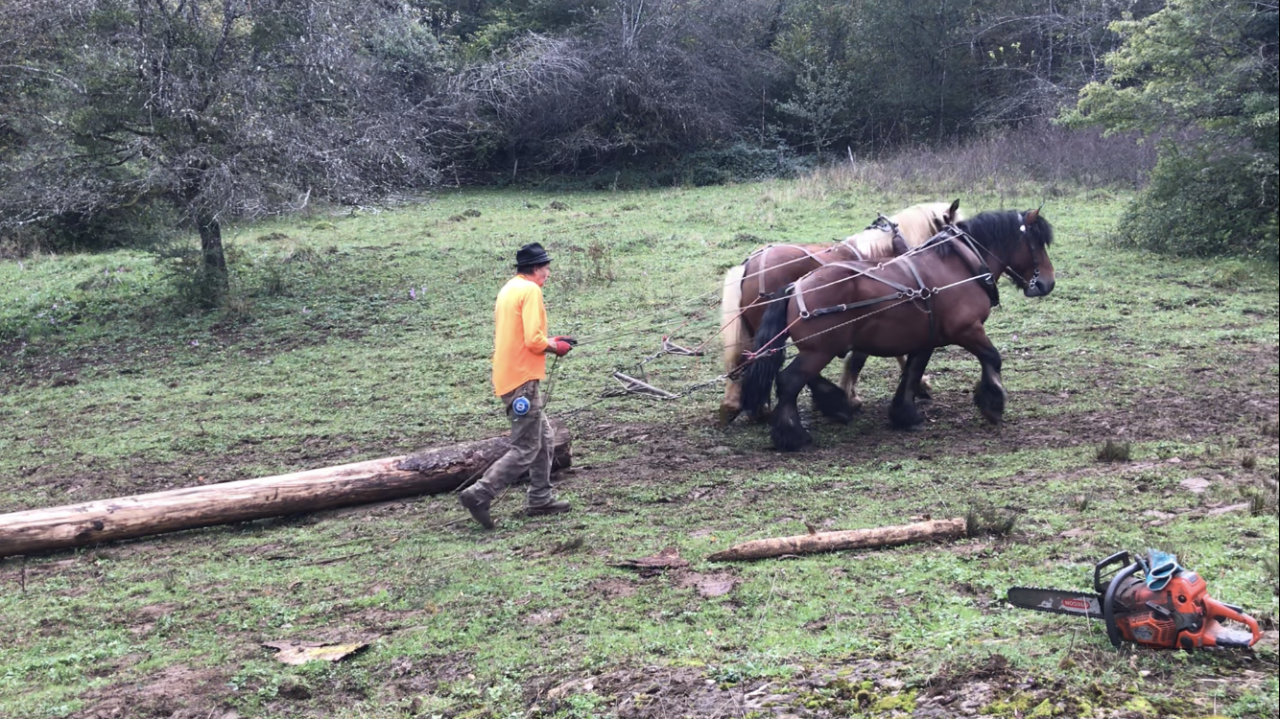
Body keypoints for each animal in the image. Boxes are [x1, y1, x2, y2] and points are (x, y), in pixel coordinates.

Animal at [719, 200, 962, 425]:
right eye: (955, 226)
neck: (888, 248)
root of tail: (749, 265)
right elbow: (863, 359)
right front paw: (851, 397)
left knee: (745, 359)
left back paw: (738, 406)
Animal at [740, 208, 1055, 451]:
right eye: (1037, 244)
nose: (1047, 283)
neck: (960, 265)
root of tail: (796, 286)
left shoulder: (926, 339)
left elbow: (912, 373)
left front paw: (905, 415)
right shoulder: (966, 330)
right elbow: (992, 357)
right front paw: (993, 403)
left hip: (818, 350)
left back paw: (832, 406)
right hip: (818, 350)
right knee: (788, 381)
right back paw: (793, 435)